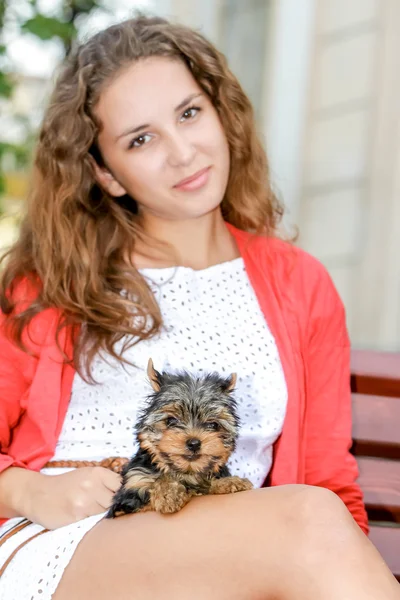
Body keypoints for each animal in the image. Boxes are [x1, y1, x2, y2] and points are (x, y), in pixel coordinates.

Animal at [106, 358, 253, 516]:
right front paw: (168, 493)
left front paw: (228, 482)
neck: (186, 472)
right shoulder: (128, 497)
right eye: (171, 420)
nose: (194, 443)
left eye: (213, 425)